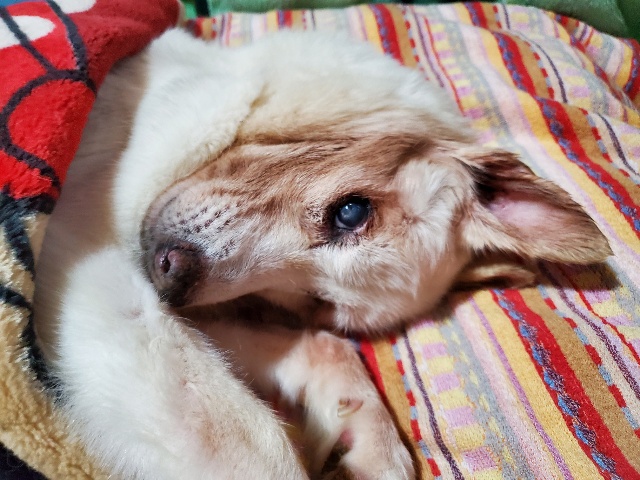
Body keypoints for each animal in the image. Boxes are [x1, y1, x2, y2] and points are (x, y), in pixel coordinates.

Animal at [33, 28, 611, 479]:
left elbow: (323, 349)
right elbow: (245, 441)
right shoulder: (86, 258)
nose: (168, 271)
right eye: (351, 211)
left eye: (310, 300)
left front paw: (363, 432)